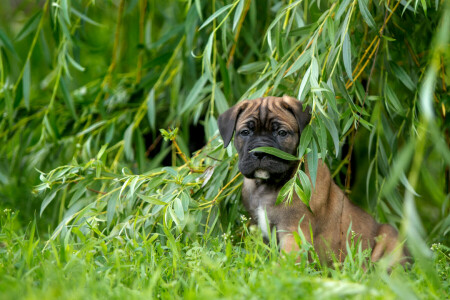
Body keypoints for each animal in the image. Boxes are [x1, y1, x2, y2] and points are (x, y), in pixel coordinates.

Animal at [217, 96, 408, 264]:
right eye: (245, 132)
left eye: (281, 133)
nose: (260, 152)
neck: (267, 186)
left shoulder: (293, 231)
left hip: (389, 236)